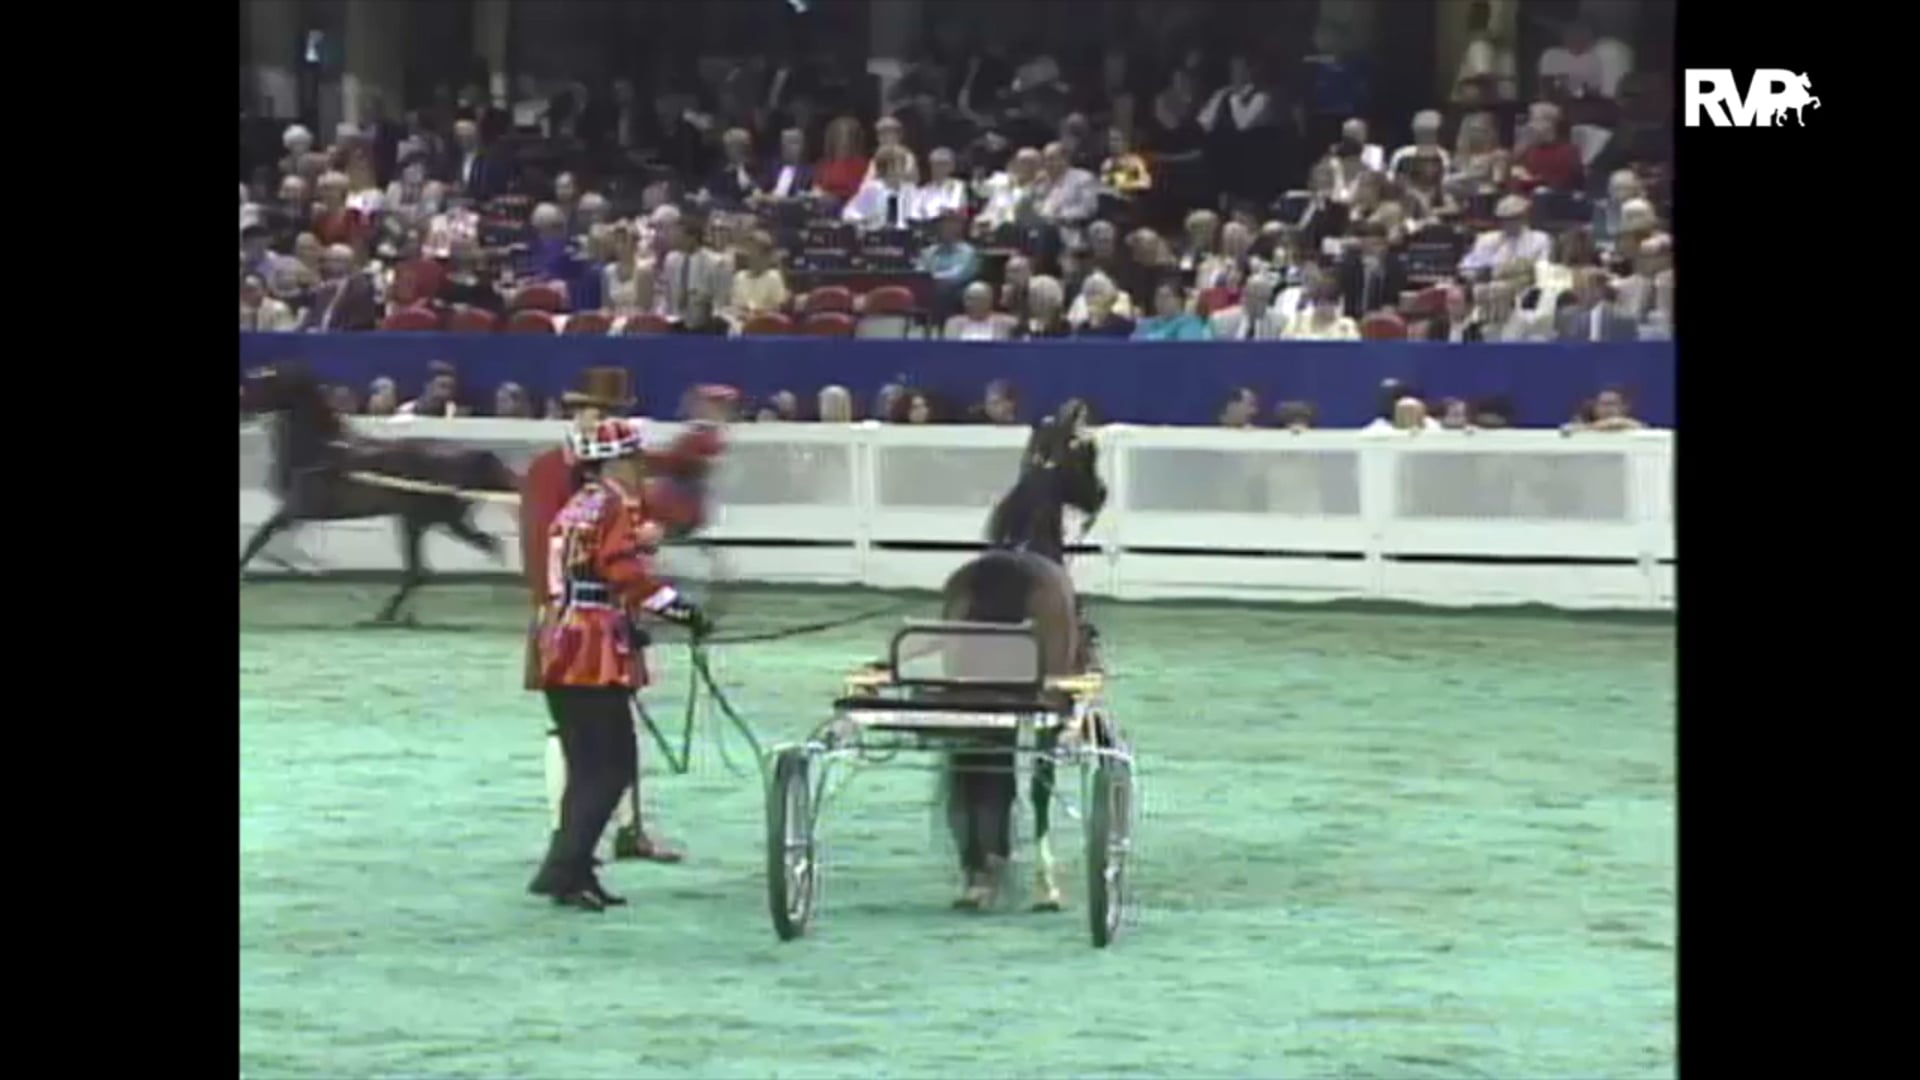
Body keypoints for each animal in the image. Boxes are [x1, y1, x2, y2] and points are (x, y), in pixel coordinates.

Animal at [239, 364, 520, 623]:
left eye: (263, 383)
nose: (243, 411)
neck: (321, 450)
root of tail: (476, 456)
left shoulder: (299, 509)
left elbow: (258, 538)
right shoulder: (297, 513)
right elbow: (264, 540)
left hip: (431, 520)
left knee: (439, 564)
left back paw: (386, 614)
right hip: (424, 521)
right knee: (446, 561)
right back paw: (392, 614)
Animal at [938, 400, 1108, 911]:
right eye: (1087, 451)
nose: (1101, 494)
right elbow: (1036, 784)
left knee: (980, 766)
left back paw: (978, 872)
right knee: (1033, 782)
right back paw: (1041, 883)